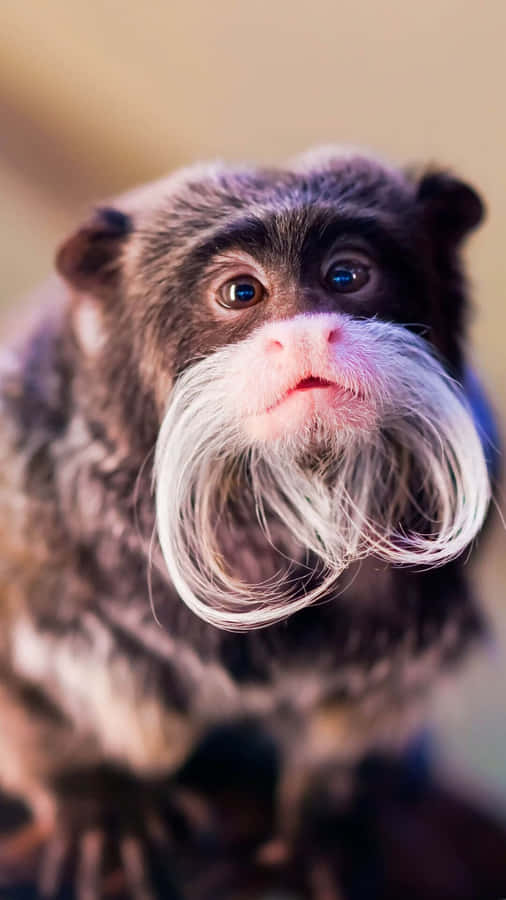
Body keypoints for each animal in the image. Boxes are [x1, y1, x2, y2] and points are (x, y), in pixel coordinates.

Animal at [0, 146, 498, 899]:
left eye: (347, 275)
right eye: (241, 293)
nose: (309, 333)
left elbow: (354, 732)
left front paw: (325, 825)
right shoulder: (34, 508)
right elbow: (31, 680)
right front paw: (97, 792)